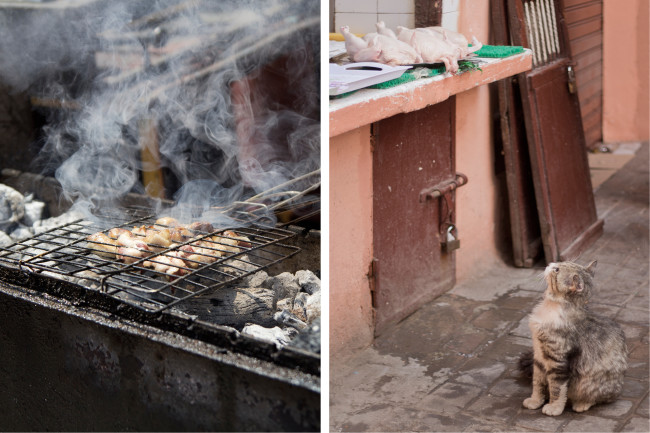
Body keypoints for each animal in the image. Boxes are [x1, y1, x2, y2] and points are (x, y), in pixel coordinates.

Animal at [516, 260, 624, 416]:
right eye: (559, 263)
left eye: (556, 270)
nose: (550, 264)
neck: (550, 307)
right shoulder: (538, 357)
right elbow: (537, 383)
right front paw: (535, 401)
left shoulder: (558, 362)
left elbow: (557, 389)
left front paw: (554, 408)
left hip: (591, 385)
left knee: (599, 398)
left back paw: (581, 404)